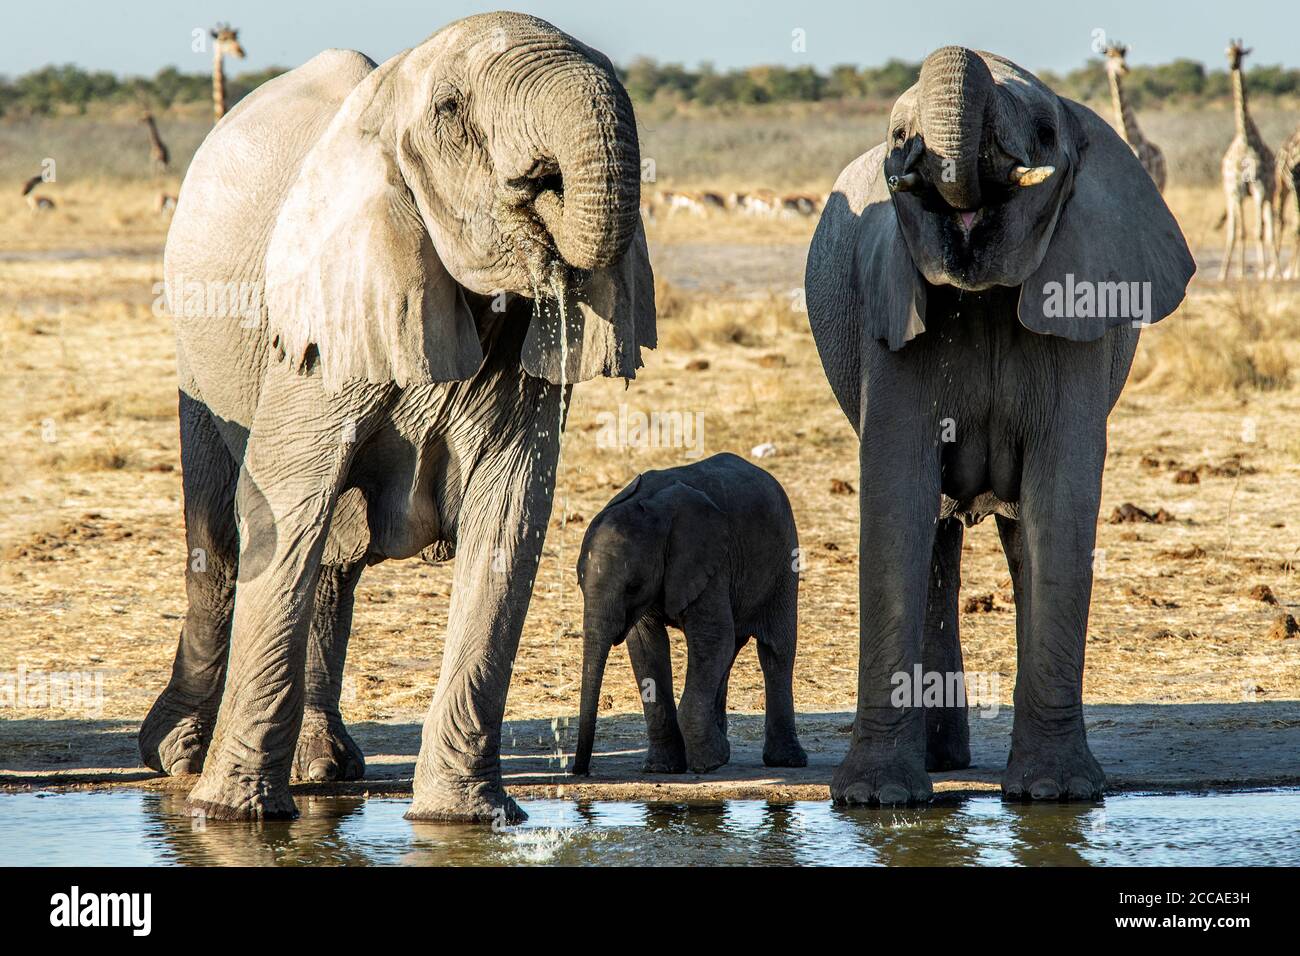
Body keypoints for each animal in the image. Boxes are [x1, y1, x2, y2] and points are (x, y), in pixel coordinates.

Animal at [139, 11, 660, 822]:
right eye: (451, 112)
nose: (543, 184)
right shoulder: (324, 312)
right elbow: (284, 501)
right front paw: (237, 818)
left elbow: (510, 514)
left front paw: (465, 818)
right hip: (194, 353)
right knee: (222, 539)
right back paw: (181, 757)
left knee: (331, 561)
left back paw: (323, 767)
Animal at [574, 455, 806, 780]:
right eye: (579, 581)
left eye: (634, 586)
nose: (579, 771)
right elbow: (647, 649)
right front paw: (663, 768)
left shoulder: (710, 562)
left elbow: (713, 639)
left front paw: (709, 763)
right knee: (730, 653)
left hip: (784, 559)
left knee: (775, 650)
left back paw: (785, 761)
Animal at [1216, 41, 1279, 280]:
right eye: (1228, 53)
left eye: (1241, 53)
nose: (1233, 65)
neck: (1246, 139)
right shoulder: (1239, 190)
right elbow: (1242, 232)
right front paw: (1242, 273)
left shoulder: (1259, 187)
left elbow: (1259, 231)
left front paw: (1260, 273)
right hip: (1232, 194)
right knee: (1234, 230)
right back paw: (1224, 273)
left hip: (1269, 192)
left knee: (1269, 228)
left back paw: (1273, 270)